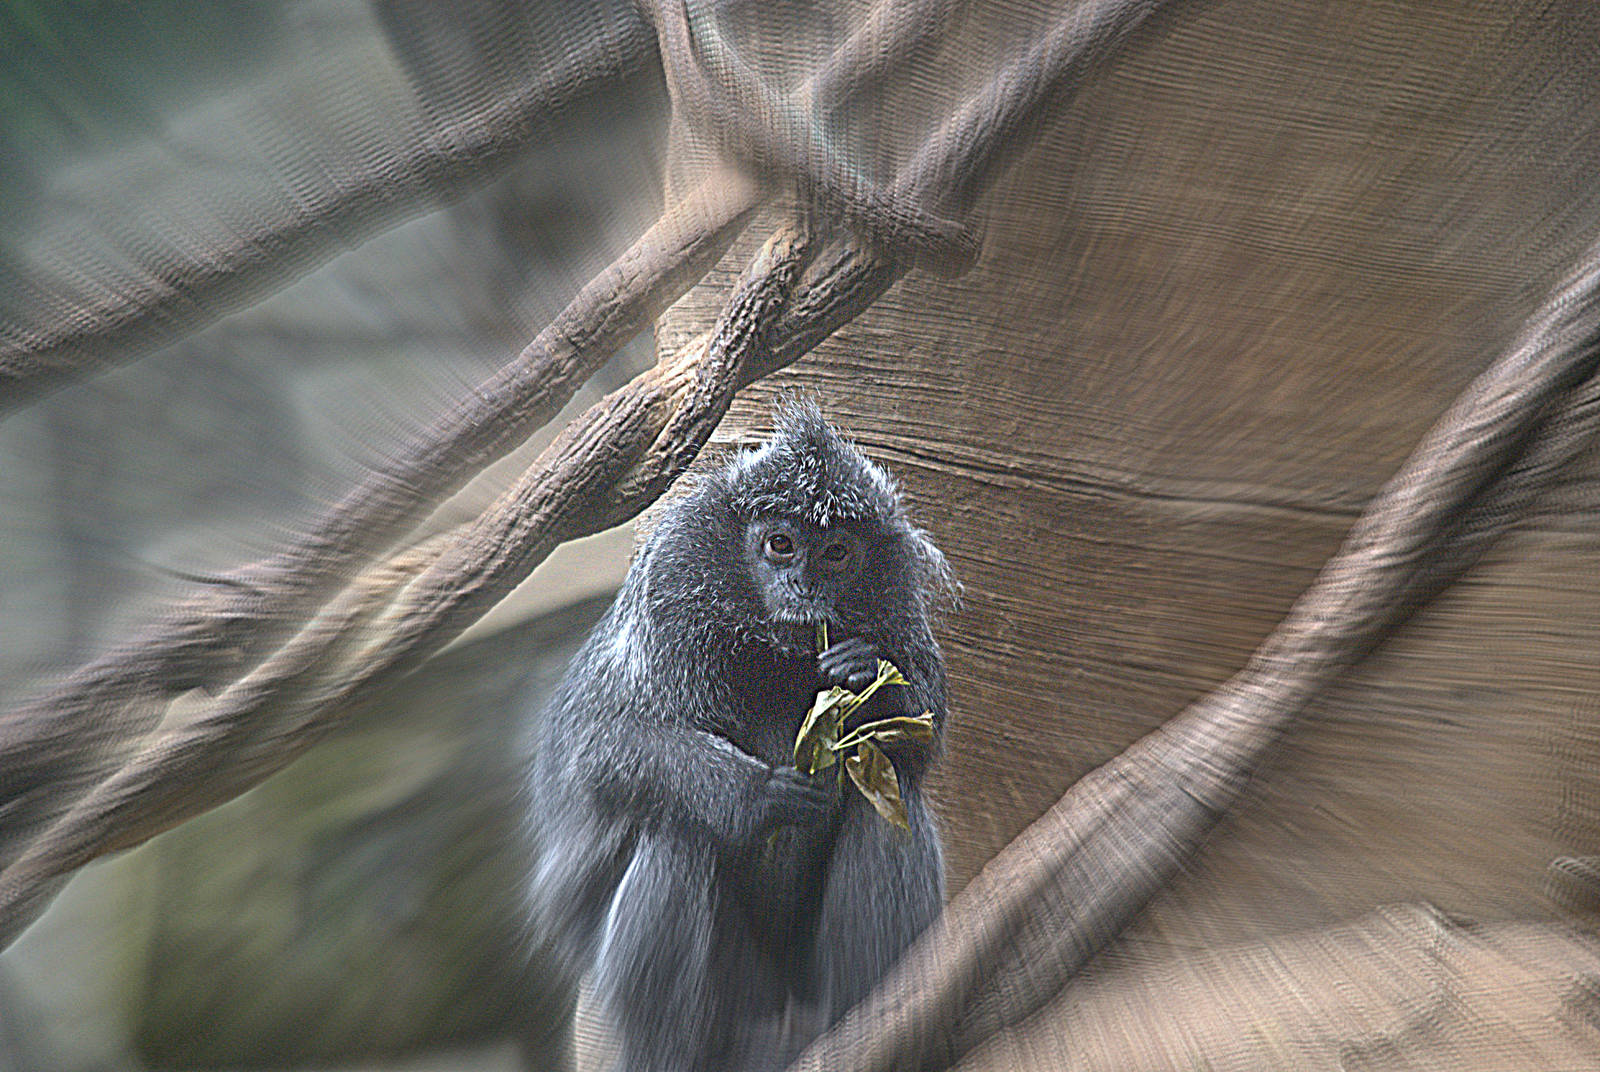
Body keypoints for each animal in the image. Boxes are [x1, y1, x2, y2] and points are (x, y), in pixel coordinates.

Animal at [524, 401, 953, 1072]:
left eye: (836, 553)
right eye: (780, 545)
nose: (805, 590)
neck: (774, 653)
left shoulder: (897, 608)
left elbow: (919, 740)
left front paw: (862, 678)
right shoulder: (670, 594)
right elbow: (605, 744)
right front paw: (763, 795)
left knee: (887, 797)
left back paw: (873, 1021)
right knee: (676, 836)